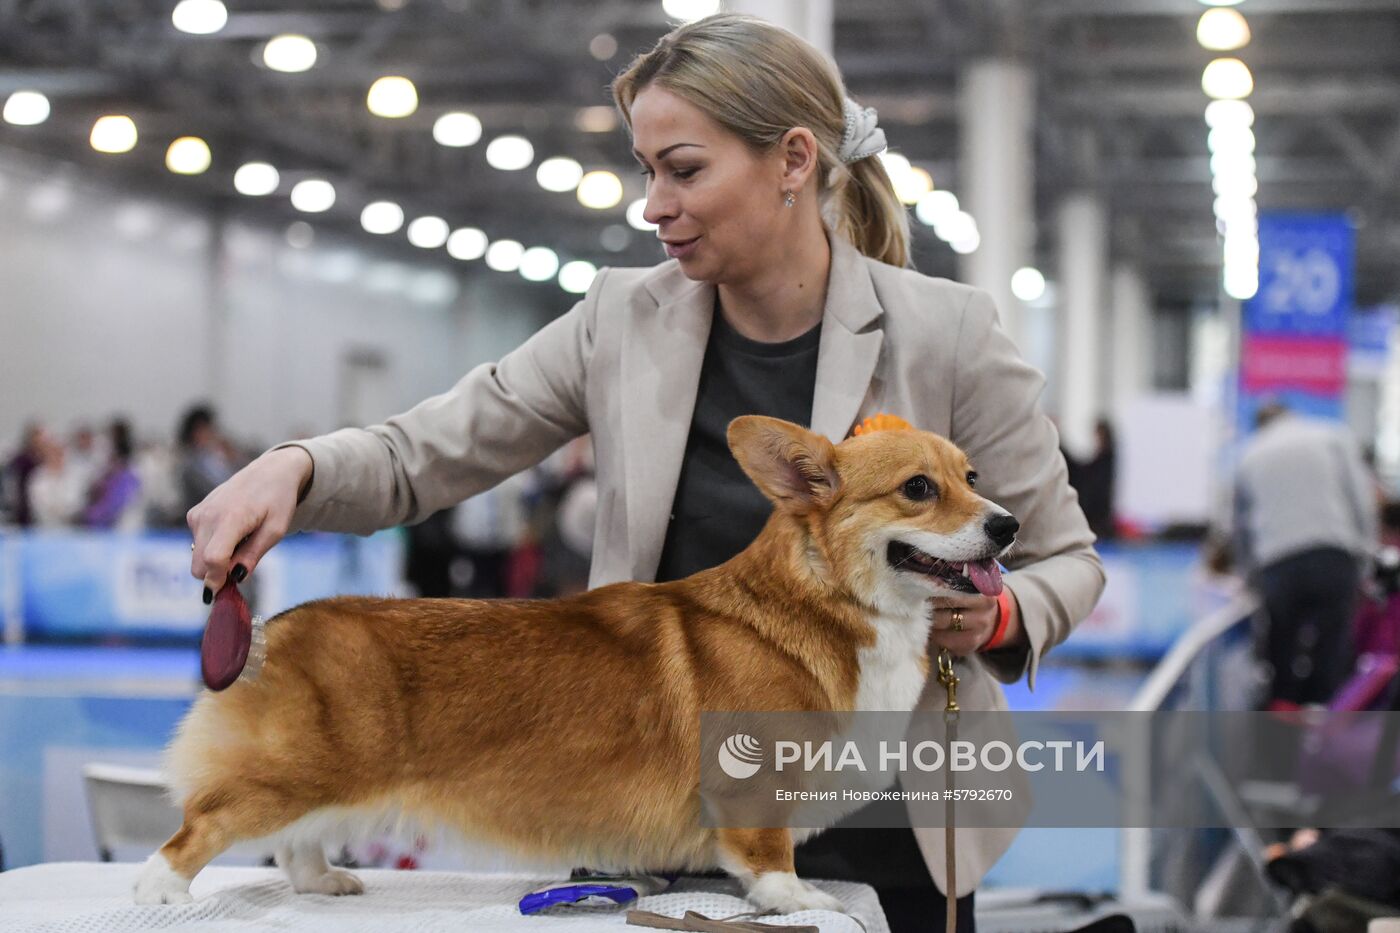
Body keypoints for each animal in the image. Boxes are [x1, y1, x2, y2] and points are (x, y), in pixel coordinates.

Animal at [139, 411, 1019, 907]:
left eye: (972, 476)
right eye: (917, 488)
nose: (1008, 525)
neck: (826, 600)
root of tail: (272, 627)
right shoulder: (754, 784)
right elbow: (768, 854)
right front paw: (799, 899)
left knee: (297, 839)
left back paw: (325, 881)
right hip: (296, 770)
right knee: (203, 825)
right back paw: (161, 889)